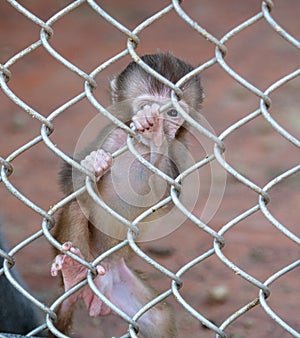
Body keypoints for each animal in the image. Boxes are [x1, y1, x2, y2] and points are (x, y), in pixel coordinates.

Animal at [50, 51, 203, 336]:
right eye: (145, 106)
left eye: (173, 112)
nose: (154, 123)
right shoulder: (109, 135)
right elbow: (69, 183)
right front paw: (93, 164)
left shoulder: (177, 156)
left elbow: (165, 198)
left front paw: (156, 140)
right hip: (90, 259)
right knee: (76, 206)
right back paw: (73, 273)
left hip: (123, 285)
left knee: (159, 319)